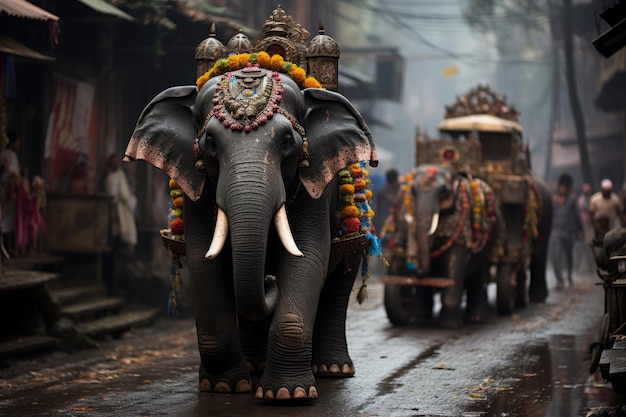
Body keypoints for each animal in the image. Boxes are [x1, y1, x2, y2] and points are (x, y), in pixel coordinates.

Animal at [121, 51, 376, 400]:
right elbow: (203, 260)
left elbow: (308, 255)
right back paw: (255, 366)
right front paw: (223, 387)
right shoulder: (196, 188)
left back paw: (333, 370)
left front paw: (288, 395)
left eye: (287, 140)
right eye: (211, 143)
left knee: (339, 283)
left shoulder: (315, 188)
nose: (269, 280)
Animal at [380, 162, 502, 328]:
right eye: (413, 191)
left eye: (444, 191)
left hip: (490, 239)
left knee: (478, 274)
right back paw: (421, 314)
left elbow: (455, 263)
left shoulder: (460, 226)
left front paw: (449, 325)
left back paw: (476, 318)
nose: (410, 268)